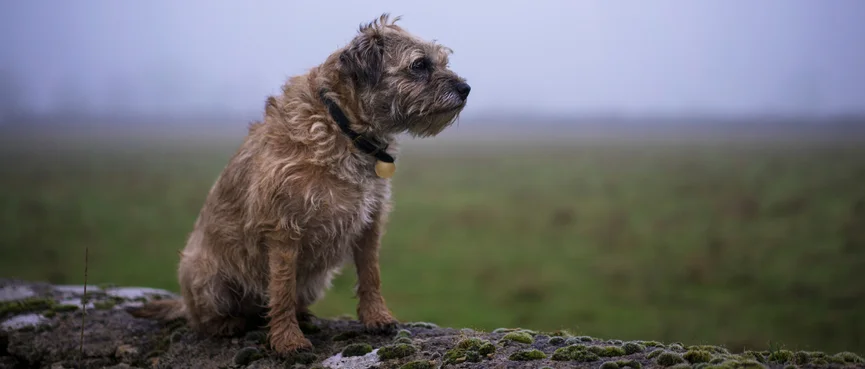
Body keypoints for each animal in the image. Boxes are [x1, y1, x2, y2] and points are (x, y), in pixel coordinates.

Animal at [126, 14, 472, 354]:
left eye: (442, 61)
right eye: (419, 65)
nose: (466, 88)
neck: (342, 126)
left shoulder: (370, 222)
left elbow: (370, 273)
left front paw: (377, 317)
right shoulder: (283, 227)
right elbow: (281, 289)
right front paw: (287, 340)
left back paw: (301, 315)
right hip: (206, 276)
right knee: (205, 318)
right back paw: (229, 324)